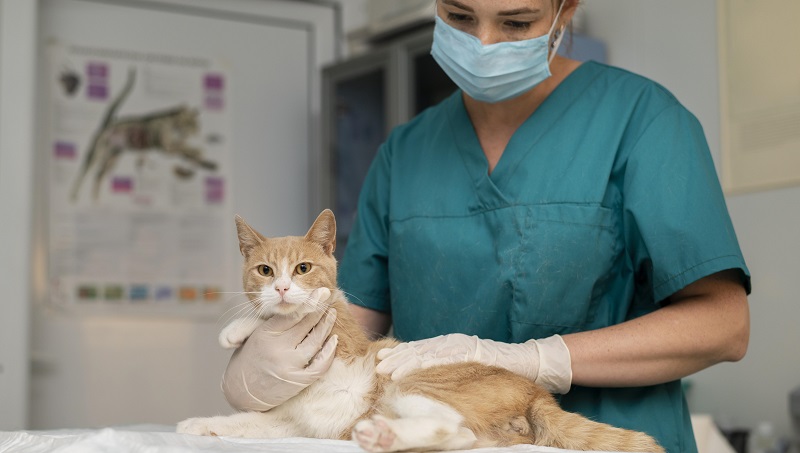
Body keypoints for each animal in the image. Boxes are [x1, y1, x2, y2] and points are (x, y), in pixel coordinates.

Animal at [177, 210, 664, 450]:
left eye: (302, 269)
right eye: (264, 270)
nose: (280, 287)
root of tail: (536, 391)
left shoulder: (345, 334)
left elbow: (313, 310)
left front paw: (248, 326)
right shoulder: (288, 422)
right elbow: (241, 422)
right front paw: (200, 424)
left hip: (412, 385)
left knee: (453, 426)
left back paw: (384, 437)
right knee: (466, 437)